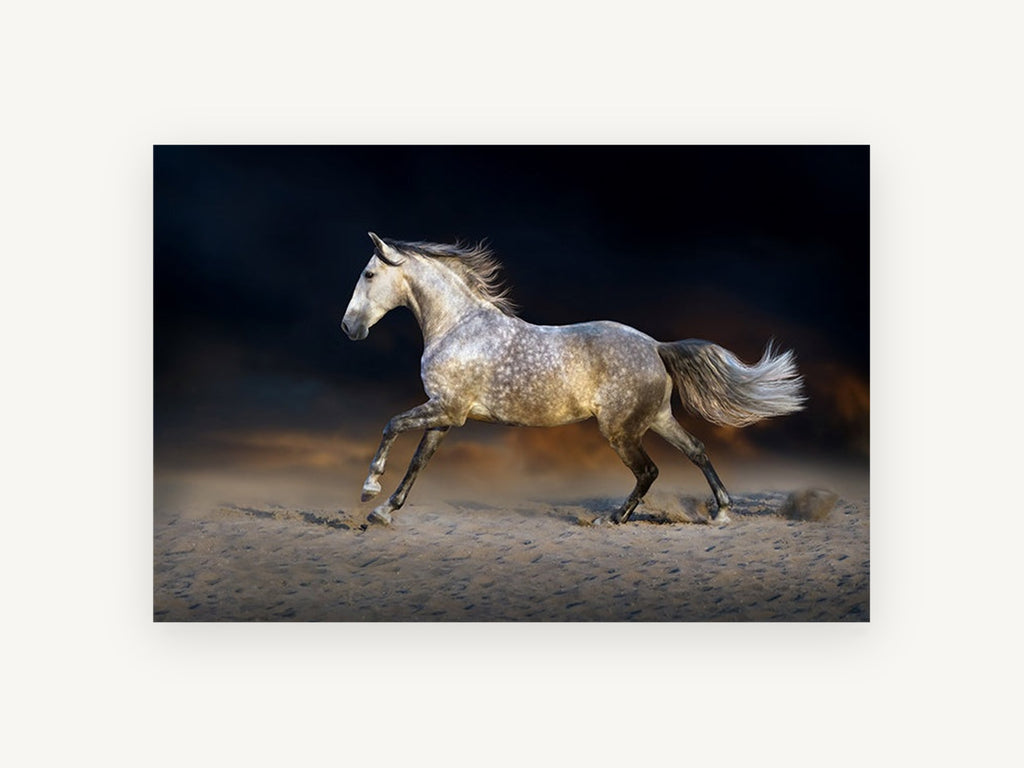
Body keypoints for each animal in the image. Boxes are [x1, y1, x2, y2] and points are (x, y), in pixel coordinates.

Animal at [342, 232, 806, 526]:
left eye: (368, 274)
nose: (349, 327)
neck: (459, 327)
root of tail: (656, 346)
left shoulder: (446, 409)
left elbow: (391, 425)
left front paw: (368, 490)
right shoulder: (446, 416)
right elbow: (418, 461)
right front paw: (383, 512)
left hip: (620, 430)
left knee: (649, 471)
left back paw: (611, 518)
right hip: (656, 419)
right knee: (696, 449)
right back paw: (722, 512)